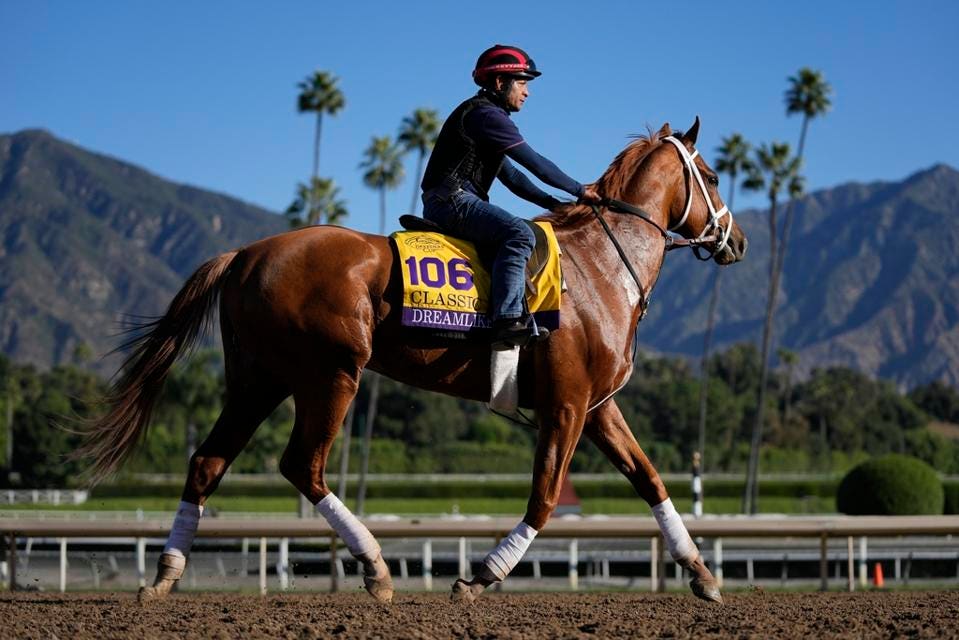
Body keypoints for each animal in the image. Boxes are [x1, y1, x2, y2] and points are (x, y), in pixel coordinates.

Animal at [77, 116, 752, 604]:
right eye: (715, 175)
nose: (738, 241)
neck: (601, 267)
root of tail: (245, 254)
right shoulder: (566, 404)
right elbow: (543, 498)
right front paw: (479, 577)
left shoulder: (597, 406)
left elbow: (651, 480)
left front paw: (703, 575)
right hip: (331, 374)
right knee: (302, 465)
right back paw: (376, 568)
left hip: (258, 381)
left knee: (207, 463)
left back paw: (165, 574)